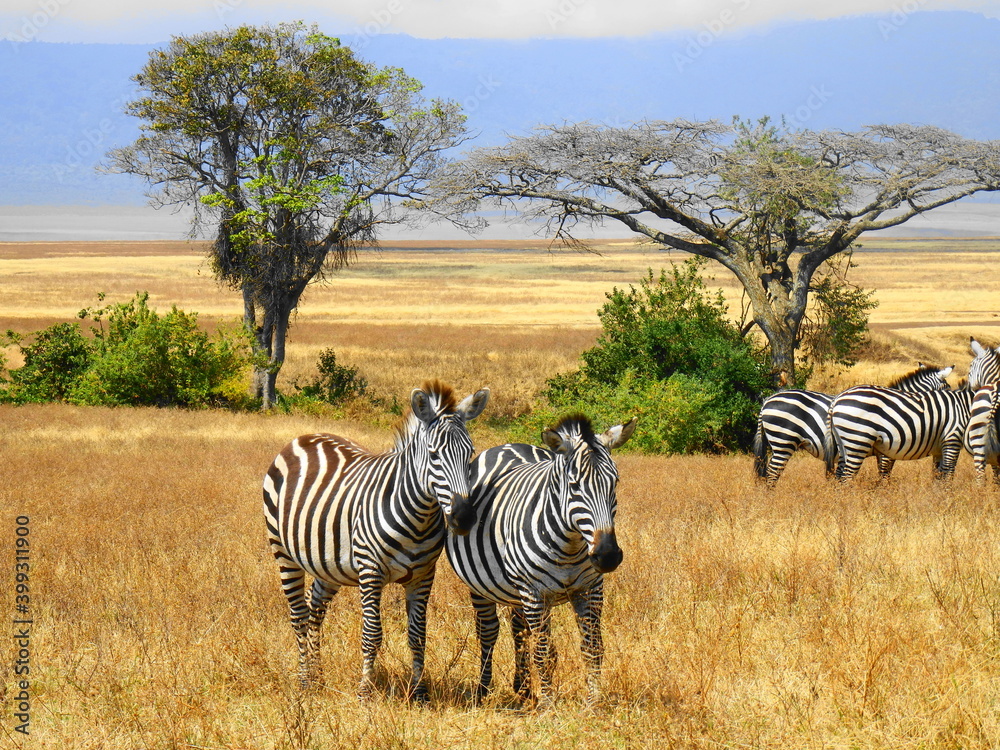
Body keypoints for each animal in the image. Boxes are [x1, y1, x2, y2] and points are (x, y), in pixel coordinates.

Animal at [262, 380, 490, 701]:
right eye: (433, 455)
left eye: (470, 454)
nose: (464, 518)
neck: (418, 517)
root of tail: (303, 437)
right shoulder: (370, 571)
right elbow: (372, 634)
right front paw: (365, 692)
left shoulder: (423, 575)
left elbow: (418, 635)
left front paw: (419, 692)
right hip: (284, 552)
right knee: (299, 614)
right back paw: (305, 680)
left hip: (328, 564)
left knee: (314, 608)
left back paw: (318, 677)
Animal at [446, 414, 637, 707]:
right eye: (574, 486)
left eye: (614, 483)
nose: (607, 556)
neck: (571, 545)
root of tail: (508, 445)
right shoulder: (535, 593)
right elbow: (543, 652)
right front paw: (548, 705)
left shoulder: (591, 589)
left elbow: (593, 647)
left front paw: (594, 701)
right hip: (482, 586)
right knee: (488, 632)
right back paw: (483, 690)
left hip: (516, 591)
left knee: (519, 629)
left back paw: (523, 688)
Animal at [752, 363, 954, 485]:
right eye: (947, 388)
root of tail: (767, 401)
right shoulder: (887, 452)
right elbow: (885, 476)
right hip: (784, 440)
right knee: (772, 473)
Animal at [825, 382, 975, 482]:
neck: (965, 406)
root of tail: (837, 399)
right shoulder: (952, 439)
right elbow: (948, 473)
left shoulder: (939, 448)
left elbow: (937, 475)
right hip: (858, 440)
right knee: (847, 477)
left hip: (843, 442)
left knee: (839, 475)